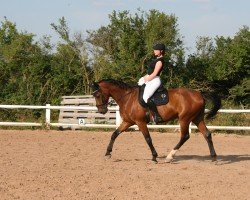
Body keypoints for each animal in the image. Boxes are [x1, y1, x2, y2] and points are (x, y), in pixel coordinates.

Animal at [90, 79, 221, 163]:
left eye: (97, 95)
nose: (102, 110)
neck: (127, 98)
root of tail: (199, 94)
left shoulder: (140, 122)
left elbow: (148, 138)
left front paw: (154, 157)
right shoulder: (128, 122)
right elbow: (114, 134)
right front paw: (108, 153)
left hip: (185, 119)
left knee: (185, 136)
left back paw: (169, 156)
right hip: (197, 118)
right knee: (207, 134)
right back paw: (213, 157)